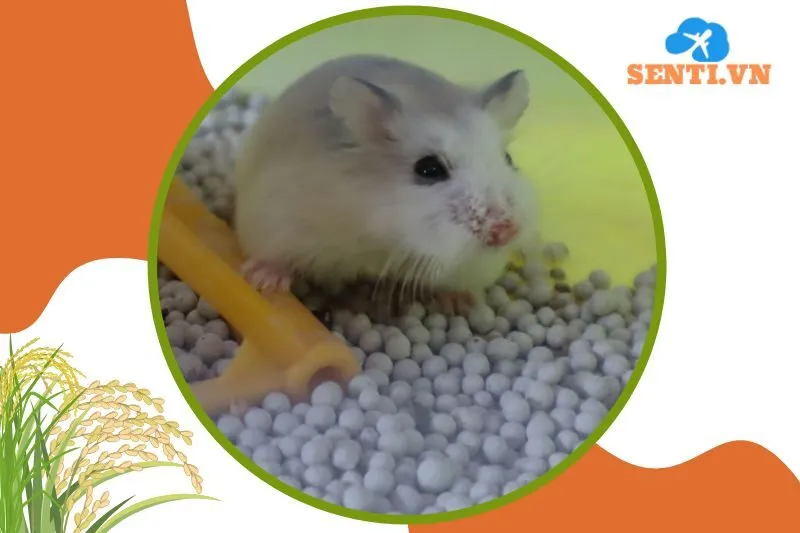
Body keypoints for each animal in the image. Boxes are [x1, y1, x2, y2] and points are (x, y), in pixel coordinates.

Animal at [233, 54, 539, 315]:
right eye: (429, 169)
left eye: (508, 158)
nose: (506, 231)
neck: (384, 237)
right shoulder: (278, 219)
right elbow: (276, 256)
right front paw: (262, 281)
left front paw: (462, 303)